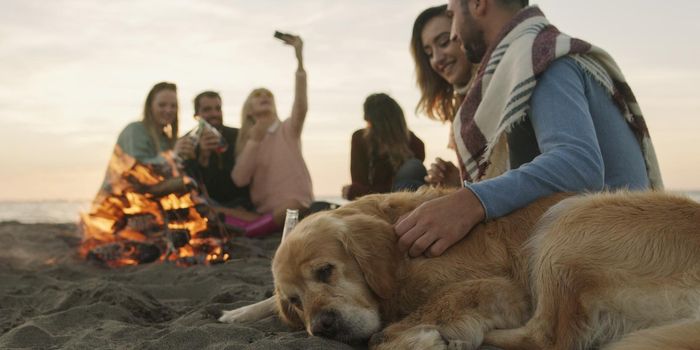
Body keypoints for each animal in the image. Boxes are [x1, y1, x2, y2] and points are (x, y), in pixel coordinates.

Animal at [220, 189, 700, 350]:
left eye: (326, 271)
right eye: (295, 302)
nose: (322, 327)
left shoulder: (504, 287)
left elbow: (395, 328)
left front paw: (419, 336)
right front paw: (237, 312)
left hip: (568, 222)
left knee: (548, 337)